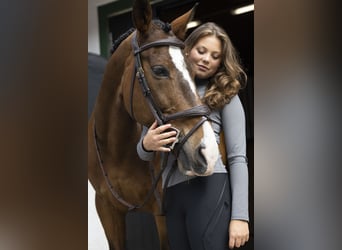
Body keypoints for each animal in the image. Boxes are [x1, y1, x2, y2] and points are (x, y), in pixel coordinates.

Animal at [88, 0, 219, 249]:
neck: (118, 150)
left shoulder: (164, 215)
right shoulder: (107, 210)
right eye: (159, 70)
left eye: (192, 70)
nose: (208, 151)